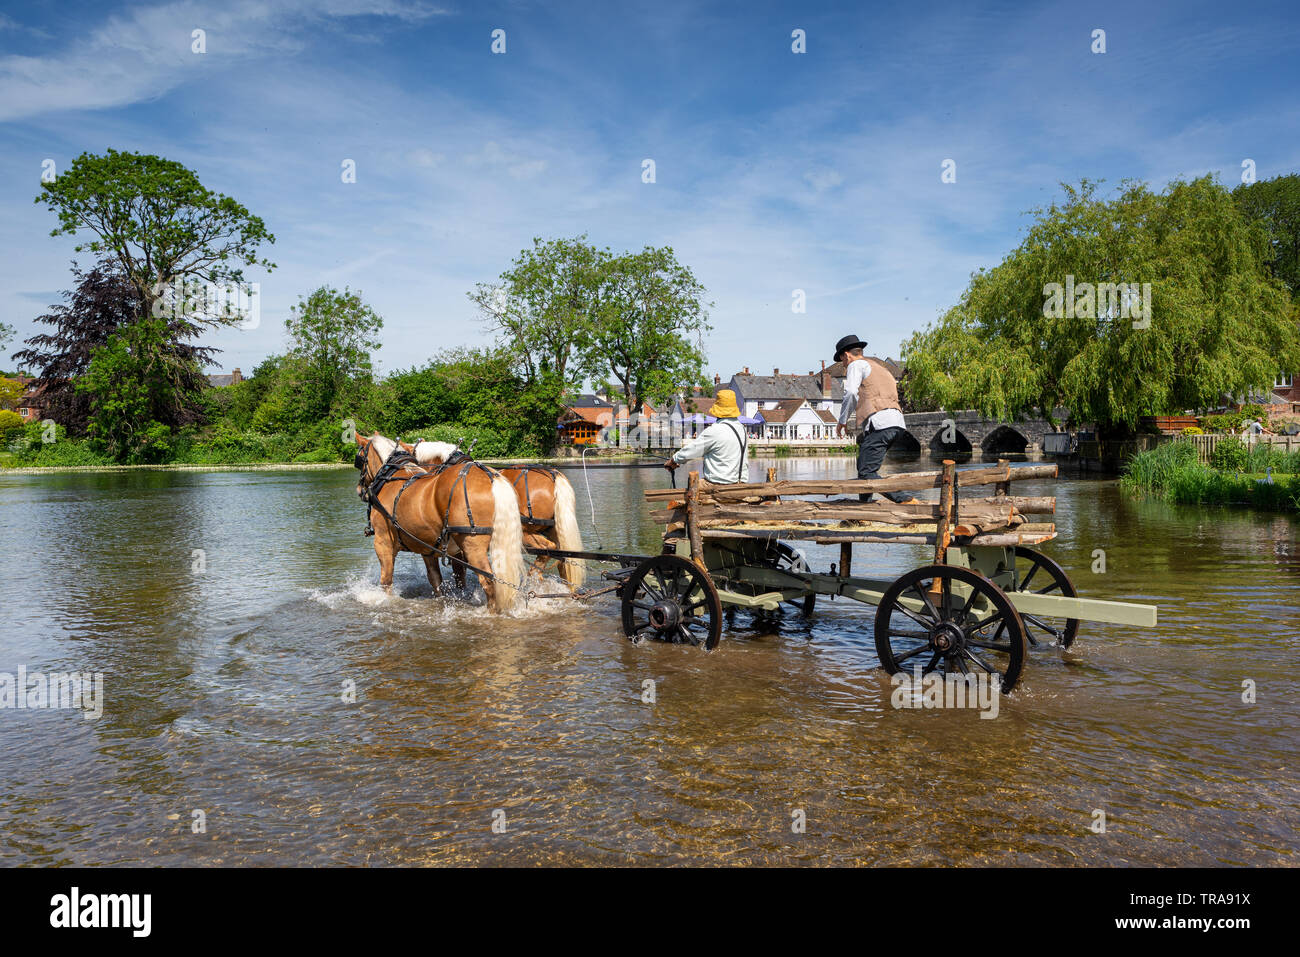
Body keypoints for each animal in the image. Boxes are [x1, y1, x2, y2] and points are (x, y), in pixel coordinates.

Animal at [353, 433, 525, 613]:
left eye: (360, 458)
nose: (358, 489)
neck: (391, 477)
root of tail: (491, 476)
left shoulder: (383, 542)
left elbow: (386, 581)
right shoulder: (427, 548)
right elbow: (437, 579)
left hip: (473, 545)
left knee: (488, 581)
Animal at [401, 440, 586, 590]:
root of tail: (554, 475)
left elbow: (460, 575)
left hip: (526, 532)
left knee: (549, 550)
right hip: (555, 530)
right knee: (564, 561)